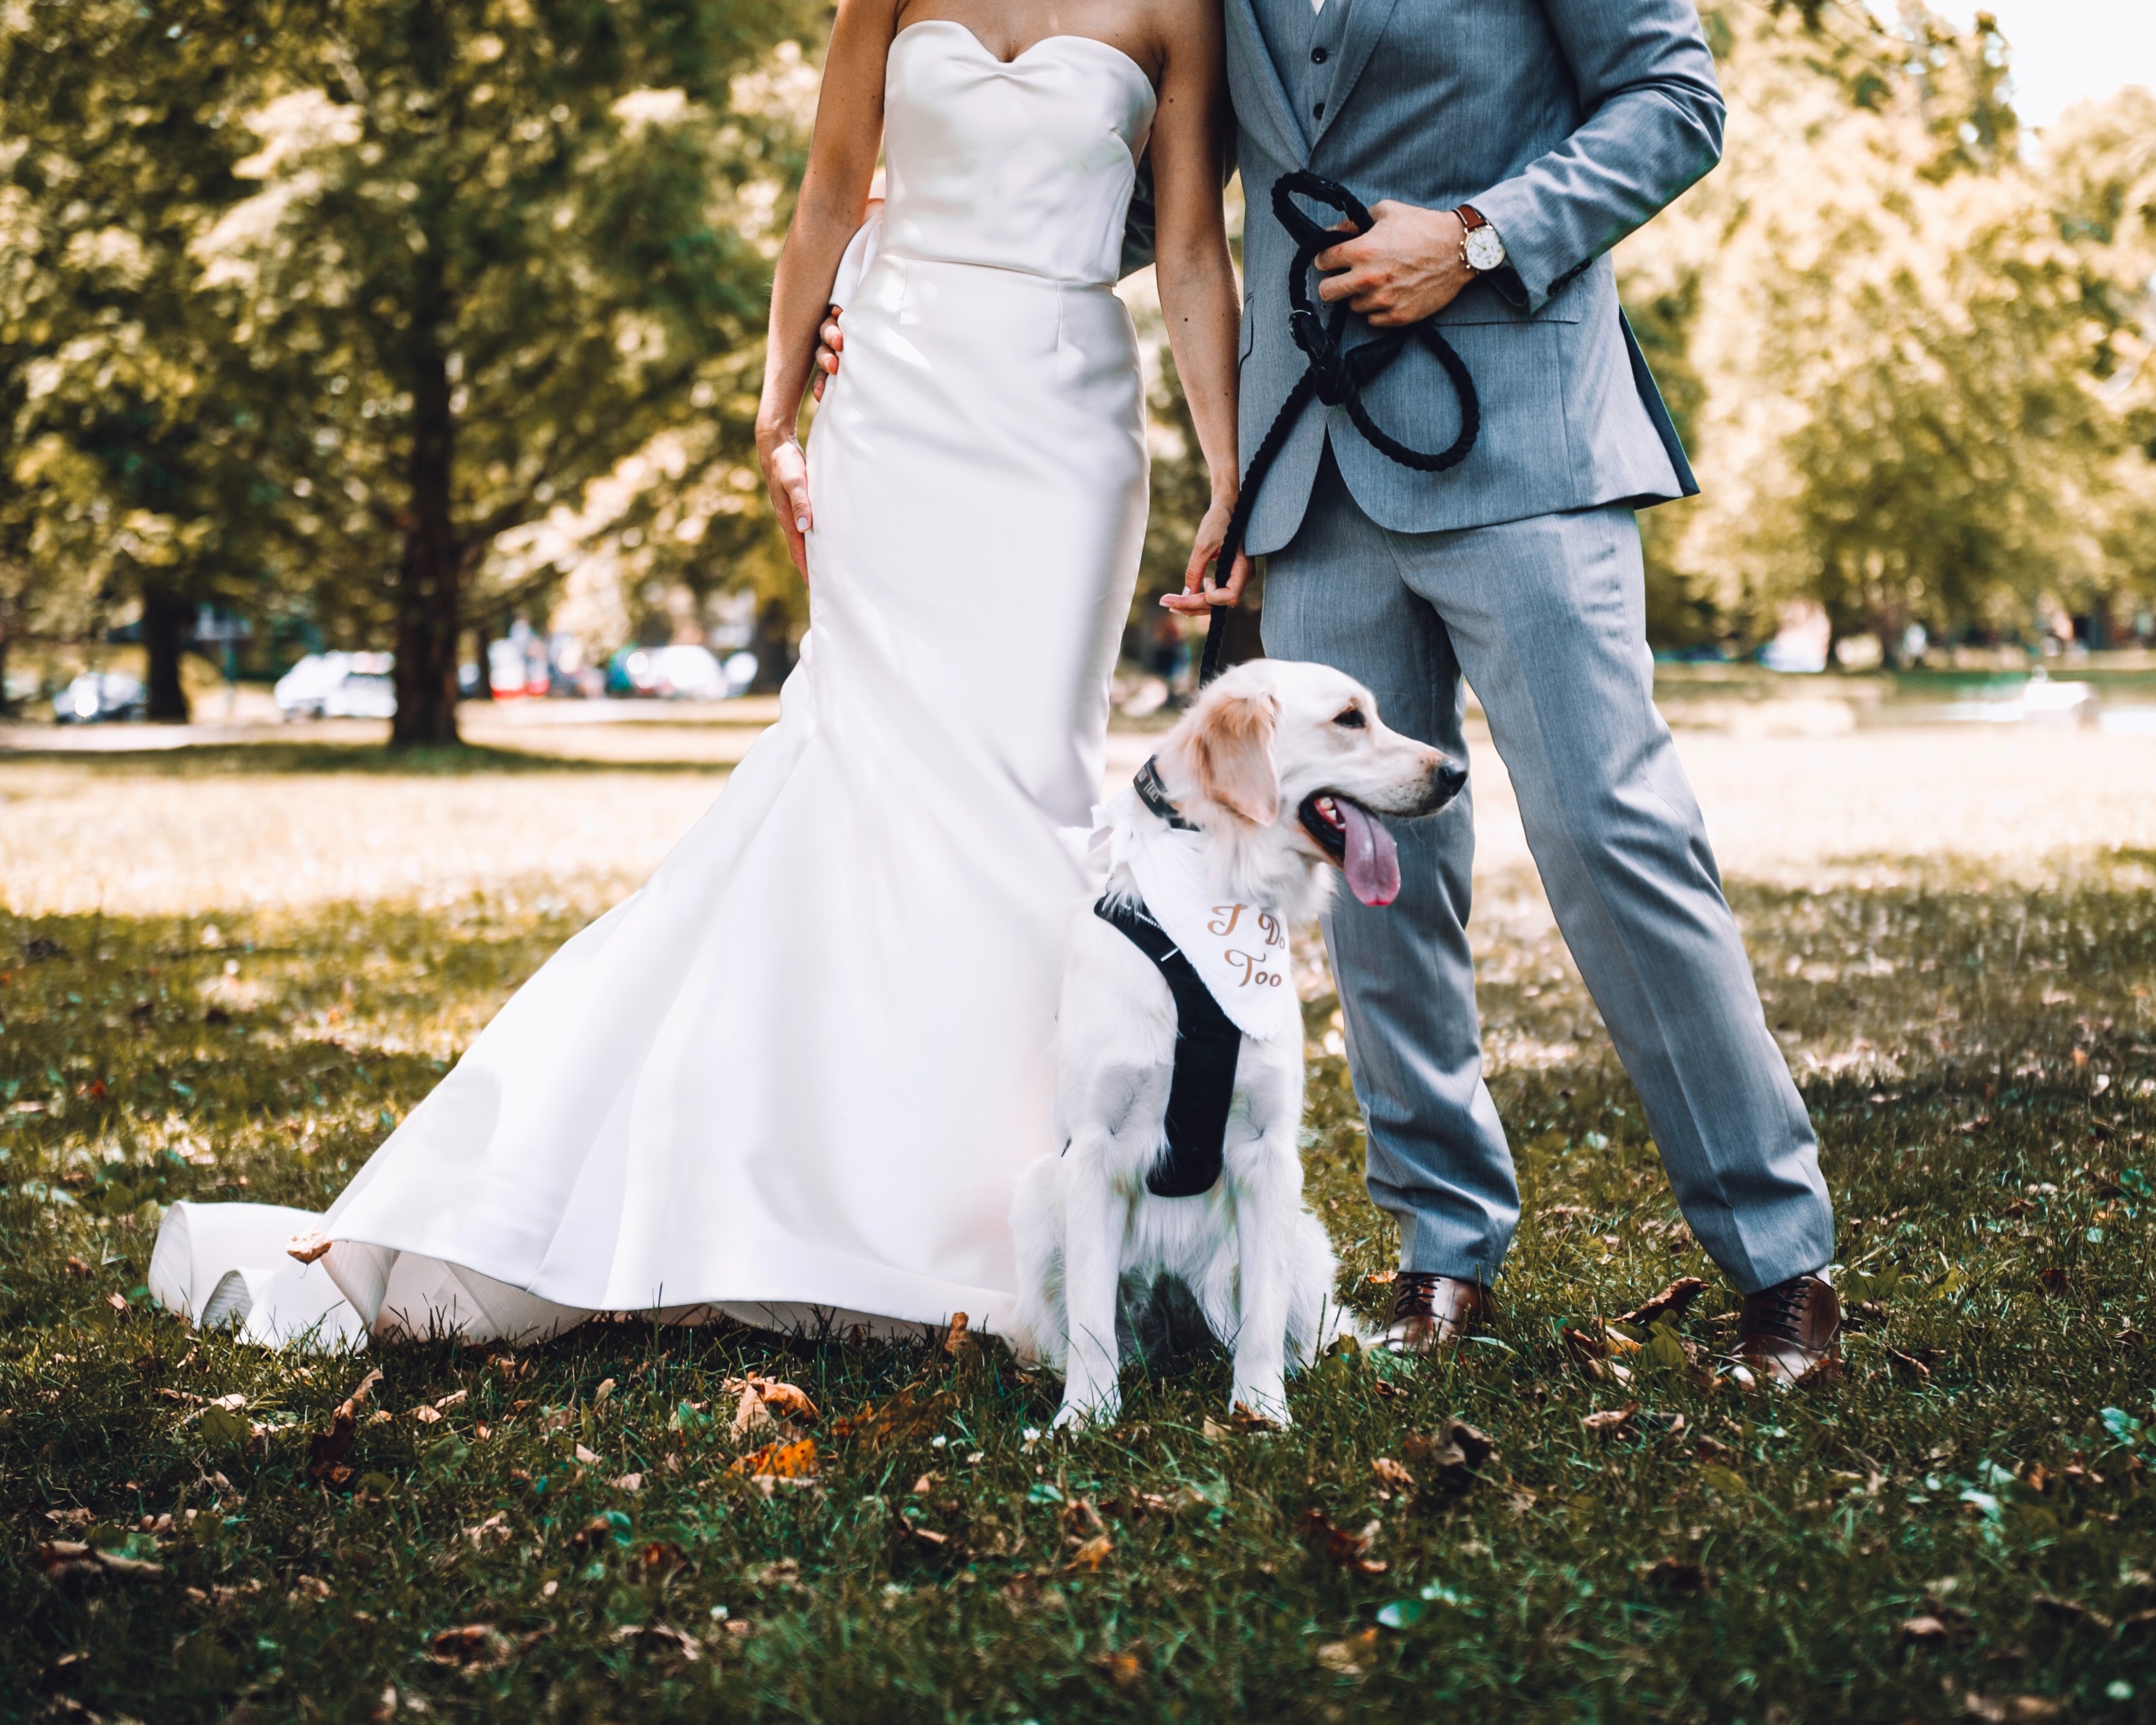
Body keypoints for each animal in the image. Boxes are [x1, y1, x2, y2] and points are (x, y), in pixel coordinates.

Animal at [1009, 660, 1466, 1431]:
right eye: (1351, 719)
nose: (1458, 773)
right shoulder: (1093, 1150)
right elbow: (1093, 1318)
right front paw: (1085, 1417)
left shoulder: (1268, 1152)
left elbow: (1260, 1315)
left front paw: (1261, 1413)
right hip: (1041, 1204)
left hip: (1298, 1245)